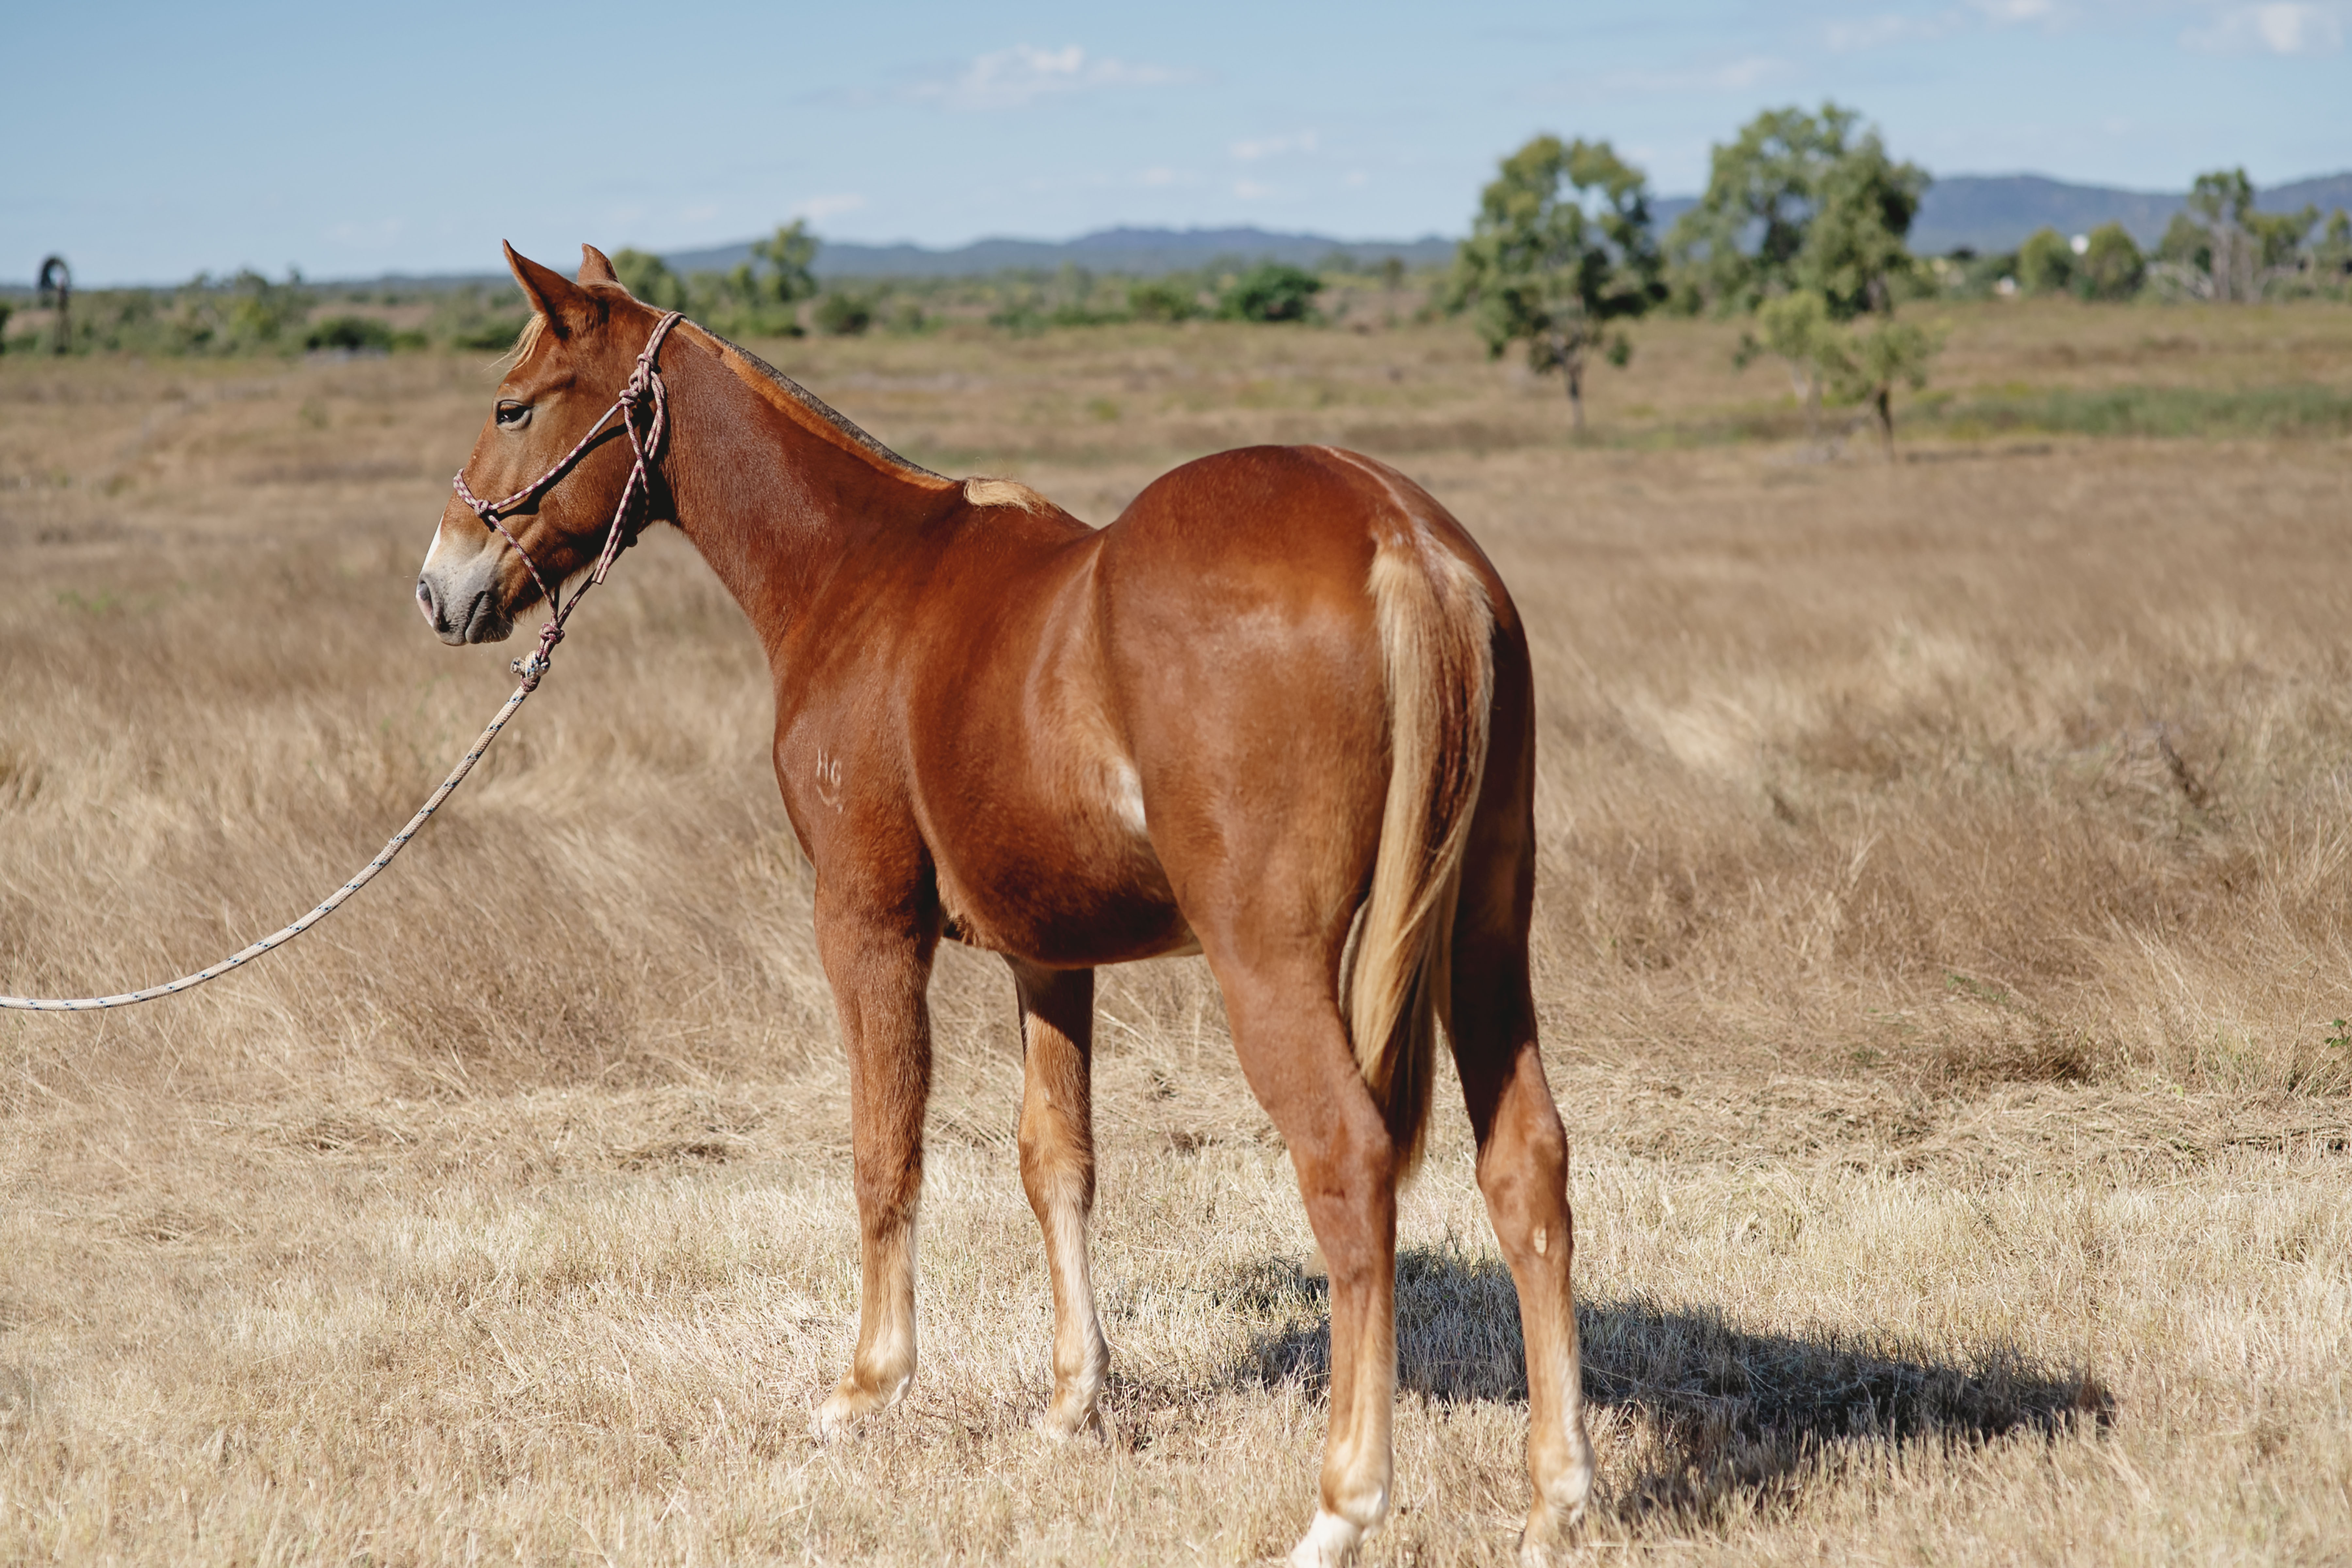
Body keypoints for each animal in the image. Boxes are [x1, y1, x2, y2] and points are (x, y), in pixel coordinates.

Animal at [415, 244, 1596, 1566]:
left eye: (513, 406)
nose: (440, 587)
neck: (862, 579)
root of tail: (1399, 535)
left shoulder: (866, 926)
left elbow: (886, 1149)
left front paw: (867, 1386)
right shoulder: (1051, 957)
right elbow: (1057, 1161)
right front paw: (1073, 1401)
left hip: (1272, 961)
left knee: (1348, 1162)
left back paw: (1344, 1502)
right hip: (1483, 945)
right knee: (1526, 1164)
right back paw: (1556, 1494)